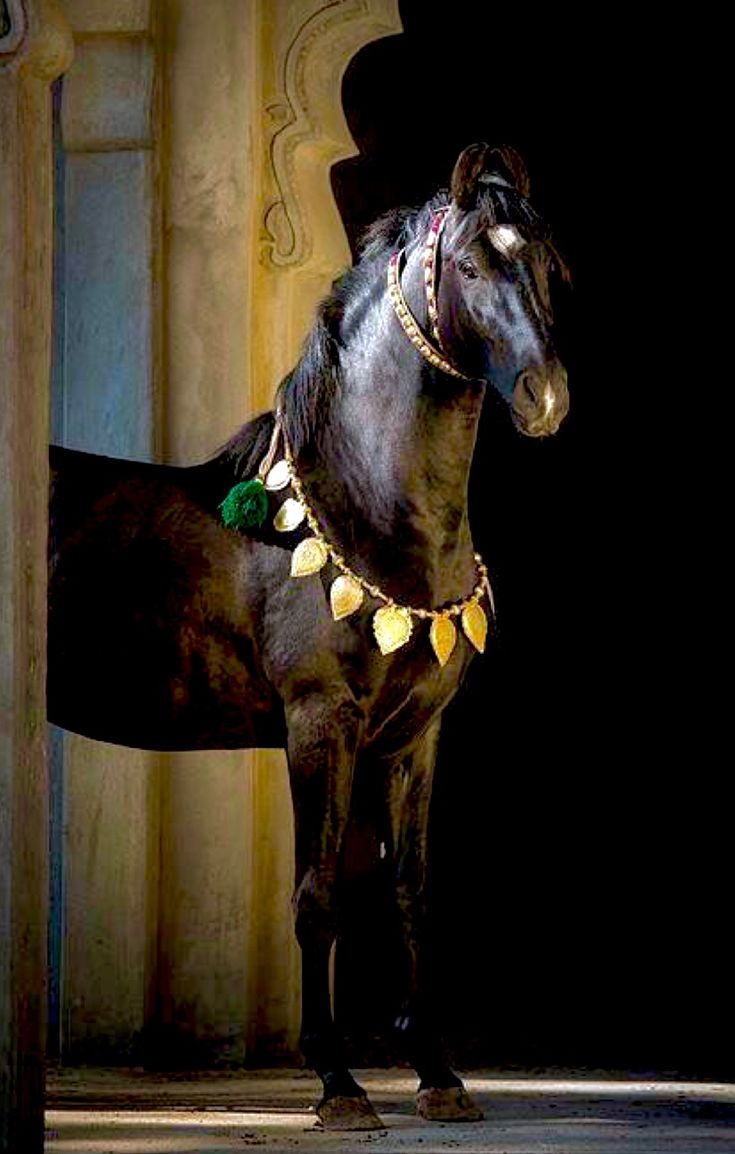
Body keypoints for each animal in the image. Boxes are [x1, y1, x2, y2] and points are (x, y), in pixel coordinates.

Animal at [48, 141, 570, 1126]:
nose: (545, 396)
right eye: (469, 265)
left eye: (547, 266)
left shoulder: (412, 739)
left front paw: (436, 1075)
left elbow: (407, 892)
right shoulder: (318, 723)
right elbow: (318, 893)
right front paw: (336, 1080)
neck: (364, 509)